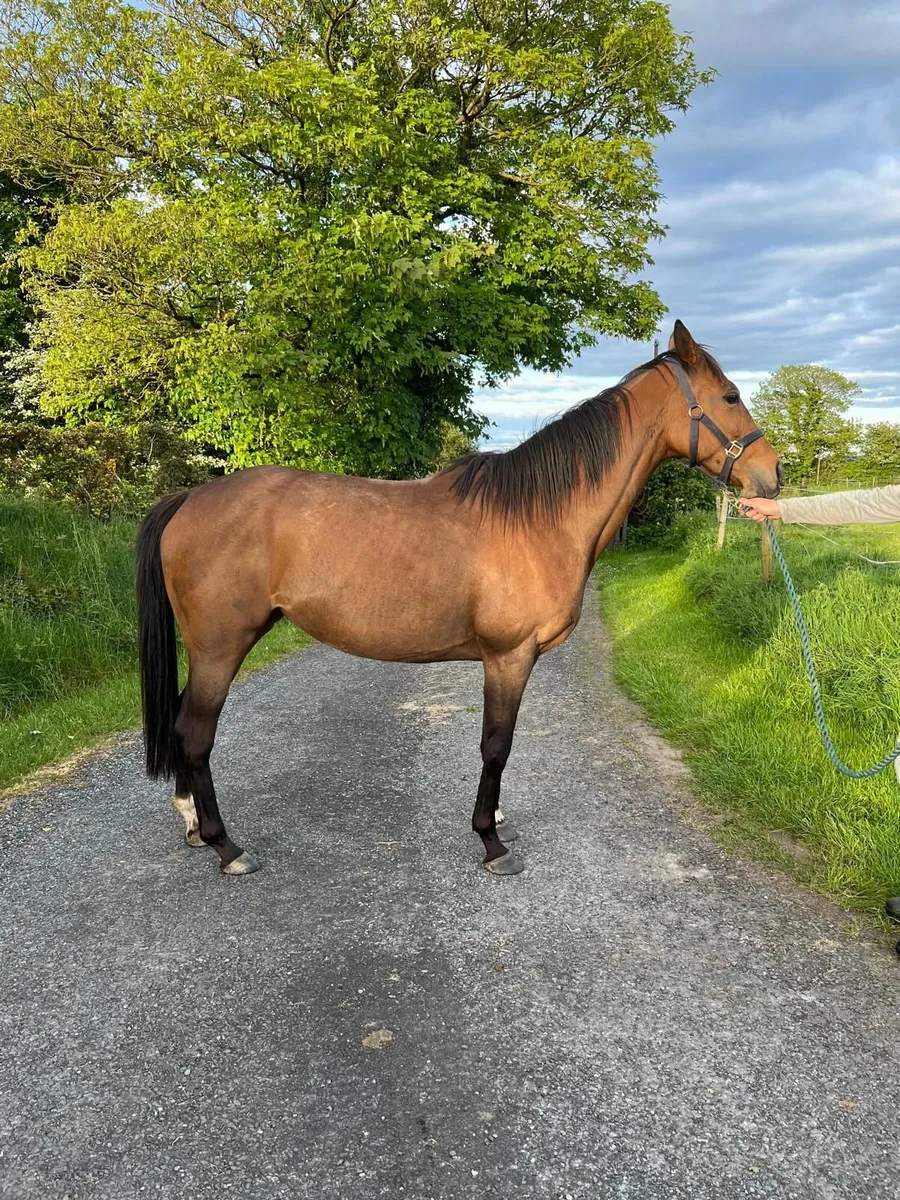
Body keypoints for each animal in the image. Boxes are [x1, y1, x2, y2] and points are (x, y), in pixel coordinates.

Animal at [136, 321, 782, 877]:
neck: (538, 519)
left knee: (183, 722)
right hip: (221, 646)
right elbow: (496, 745)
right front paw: (491, 842)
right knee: (195, 732)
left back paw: (192, 825)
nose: (772, 476)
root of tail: (189, 499)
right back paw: (226, 846)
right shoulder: (509, 656)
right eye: (729, 397)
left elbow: (500, 746)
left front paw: (497, 821)